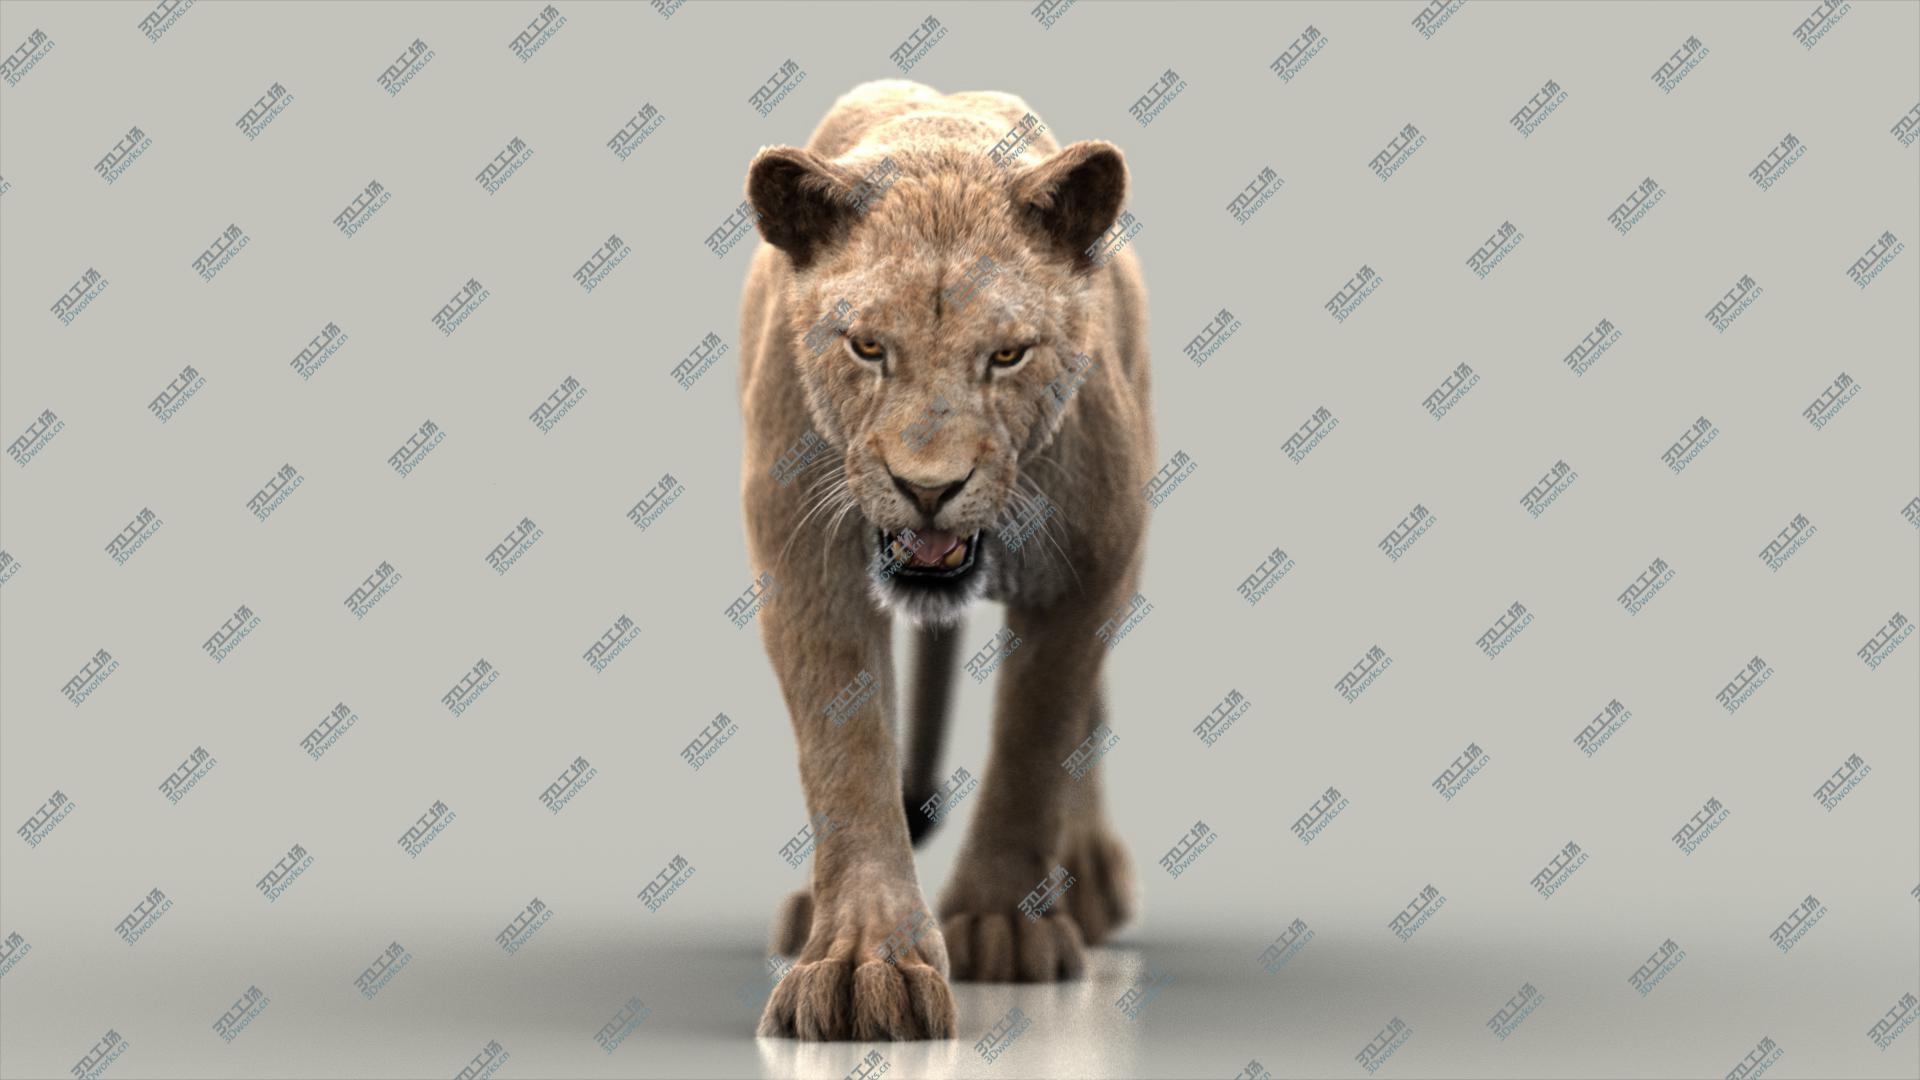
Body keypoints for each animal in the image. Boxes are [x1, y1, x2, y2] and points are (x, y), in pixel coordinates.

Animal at [736, 79, 1154, 1041]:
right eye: (867, 347)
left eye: (1006, 354)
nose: (928, 489)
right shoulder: (803, 561)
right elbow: (846, 753)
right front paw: (860, 963)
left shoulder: (1094, 558)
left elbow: (1036, 738)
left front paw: (1001, 924)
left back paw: (1085, 883)